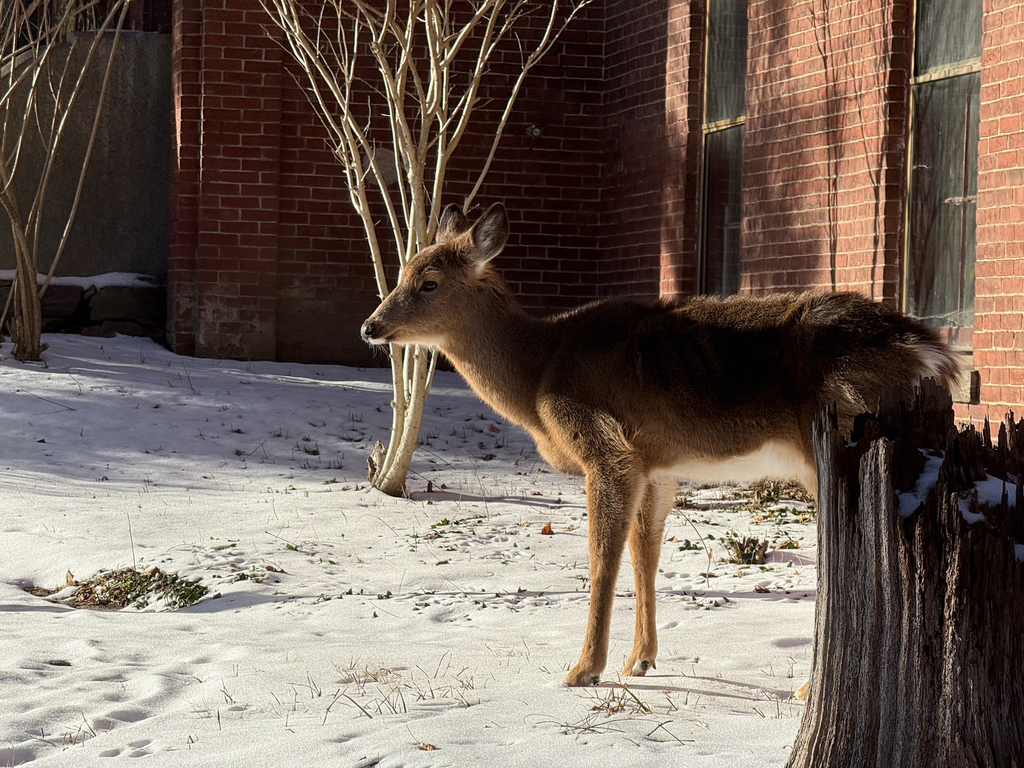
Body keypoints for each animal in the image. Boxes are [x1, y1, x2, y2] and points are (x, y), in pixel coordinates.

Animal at [360, 203, 961, 687]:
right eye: (403, 271)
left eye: (430, 282)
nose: (371, 326)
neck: (538, 373)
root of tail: (935, 353)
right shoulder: (657, 465)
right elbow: (643, 552)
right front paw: (639, 661)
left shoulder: (607, 449)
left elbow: (601, 557)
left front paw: (584, 670)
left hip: (837, 438)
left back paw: (808, 689)